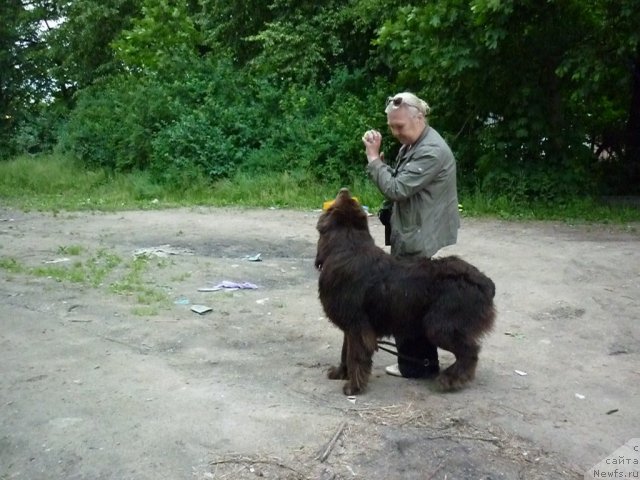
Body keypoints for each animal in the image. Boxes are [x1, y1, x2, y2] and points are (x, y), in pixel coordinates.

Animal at [316, 188, 496, 394]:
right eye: (352, 202)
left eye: (340, 203)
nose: (344, 190)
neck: (349, 246)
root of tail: (485, 282)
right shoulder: (350, 325)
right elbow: (345, 352)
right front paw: (341, 373)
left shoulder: (357, 326)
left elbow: (355, 356)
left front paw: (353, 387)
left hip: (440, 325)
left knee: (470, 352)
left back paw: (450, 379)